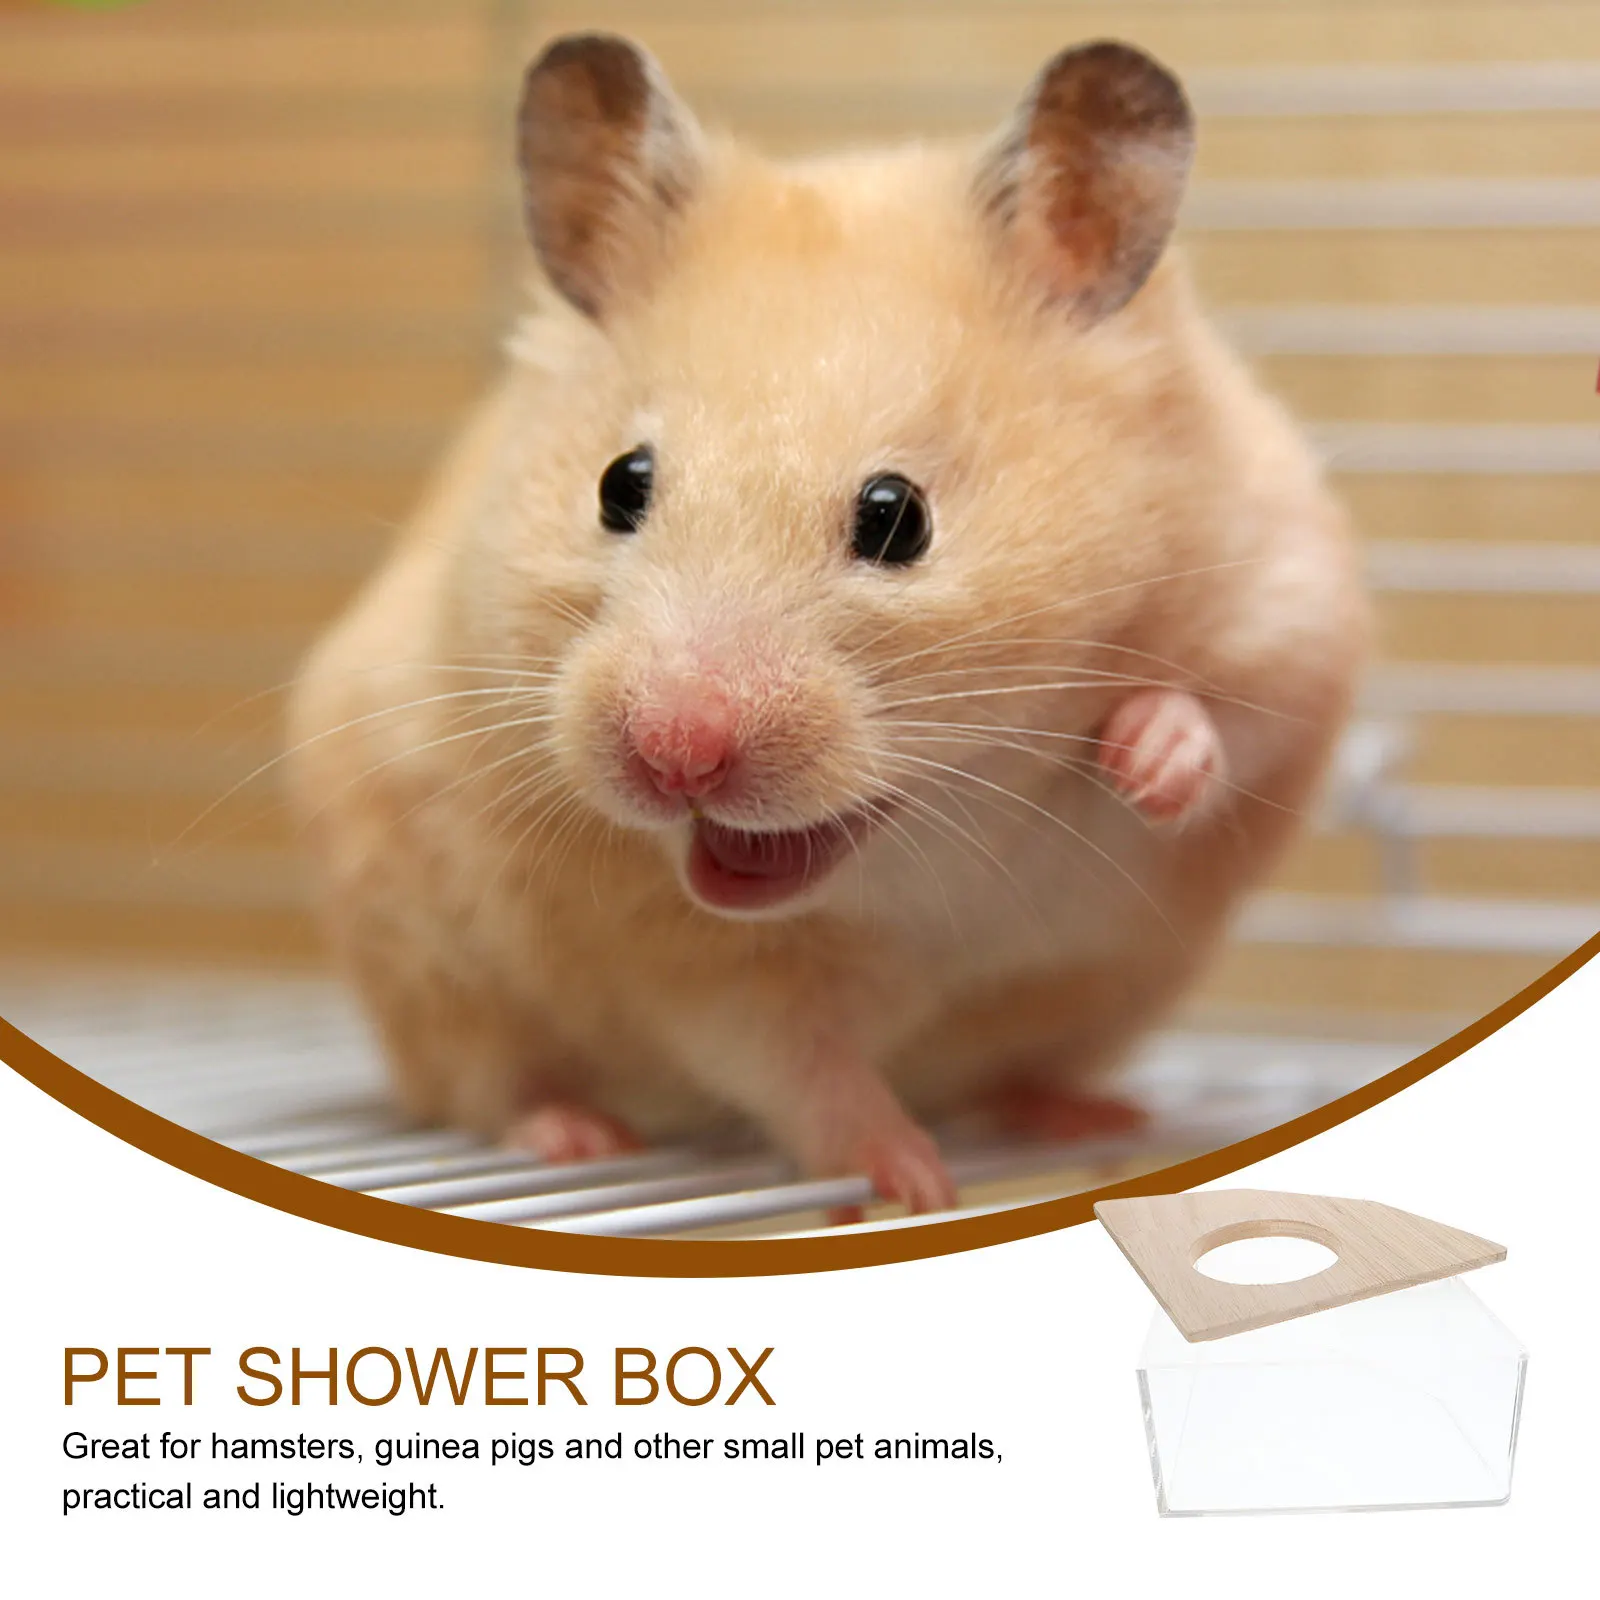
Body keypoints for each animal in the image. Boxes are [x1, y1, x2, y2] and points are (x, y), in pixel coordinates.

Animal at [286, 34, 1368, 1213]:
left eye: (897, 516)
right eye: (620, 484)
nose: (673, 755)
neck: (943, 830)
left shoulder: (1290, 608)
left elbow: (1229, 718)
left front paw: (1145, 759)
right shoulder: (711, 970)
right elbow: (805, 1073)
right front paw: (914, 1184)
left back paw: (1092, 1114)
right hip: (425, 966)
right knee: (484, 1086)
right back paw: (577, 1135)